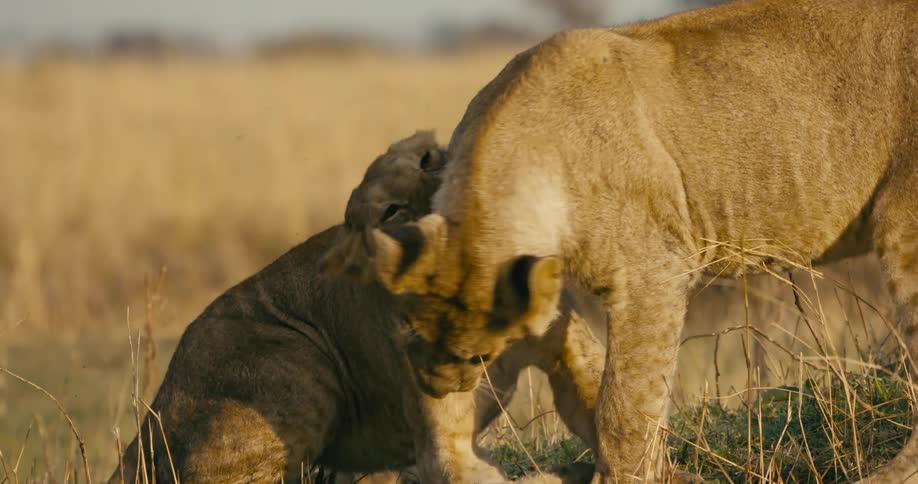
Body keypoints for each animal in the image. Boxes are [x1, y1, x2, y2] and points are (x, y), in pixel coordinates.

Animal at [348, 1, 918, 482]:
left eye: (475, 359)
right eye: (408, 336)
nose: (441, 385)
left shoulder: (653, 275)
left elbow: (624, 407)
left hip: (904, 222)